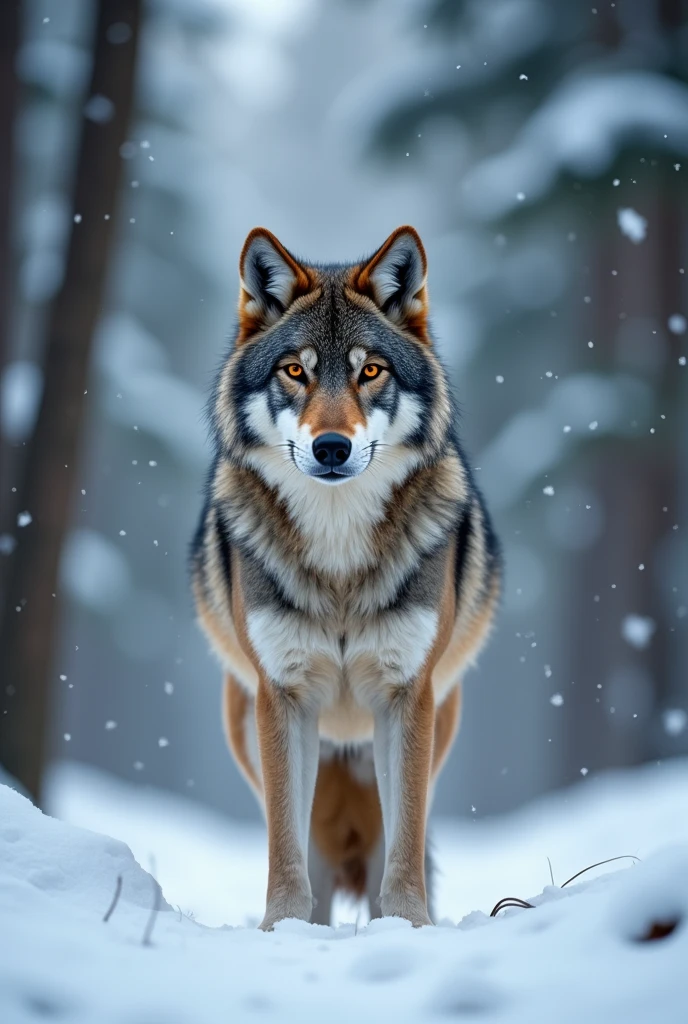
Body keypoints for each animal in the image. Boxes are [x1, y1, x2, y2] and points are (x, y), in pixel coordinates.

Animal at [193, 228, 499, 933]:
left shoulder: (408, 695)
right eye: (295, 370)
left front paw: (410, 928)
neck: (337, 555)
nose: (331, 447)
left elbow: (405, 846)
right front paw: (281, 930)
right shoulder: (280, 696)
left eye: (370, 371)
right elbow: (285, 847)